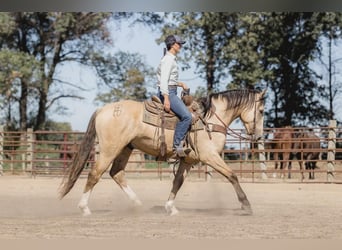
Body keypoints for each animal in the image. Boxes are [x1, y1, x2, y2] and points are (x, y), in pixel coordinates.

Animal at [59, 89, 268, 216]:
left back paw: (137, 204)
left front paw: (170, 208)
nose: (258, 136)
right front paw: (246, 205)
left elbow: (177, 182)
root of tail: (103, 109)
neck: (209, 120)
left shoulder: (188, 160)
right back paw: (84, 208)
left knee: (116, 173)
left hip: (125, 148)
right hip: (110, 149)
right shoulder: (210, 156)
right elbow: (232, 175)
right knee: (95, 174)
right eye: (262, 111)